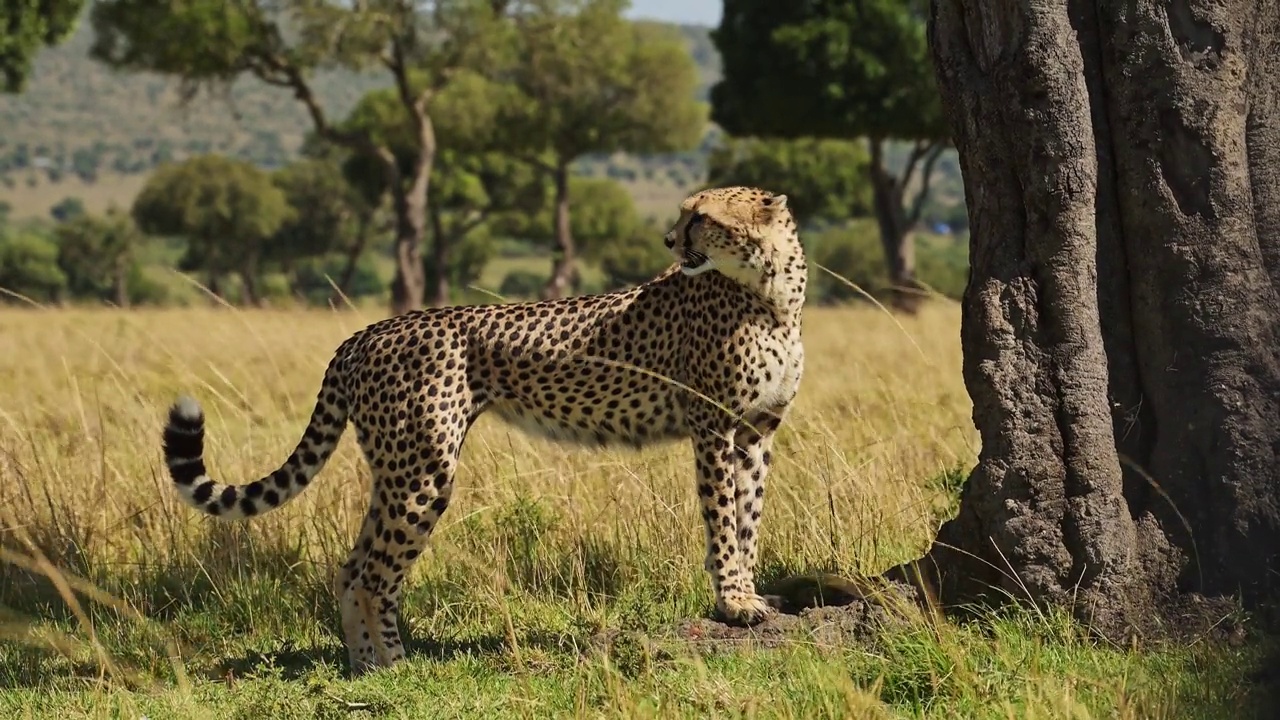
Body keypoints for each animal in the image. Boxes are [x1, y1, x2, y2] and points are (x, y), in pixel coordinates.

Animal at [157, 183, 798, 666]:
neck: (771, 294)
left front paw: (747, 592)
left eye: (701, 218)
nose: (668, 240)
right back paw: (395, 669)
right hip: (423, 469)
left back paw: (365, 667)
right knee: (372, 576)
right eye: (684, 216)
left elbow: (748, 516)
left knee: (350, 568)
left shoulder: (755, 431)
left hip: (397, 467)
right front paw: (735, 600)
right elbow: (723, 519)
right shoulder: (713, 426)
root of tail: (366, 332)